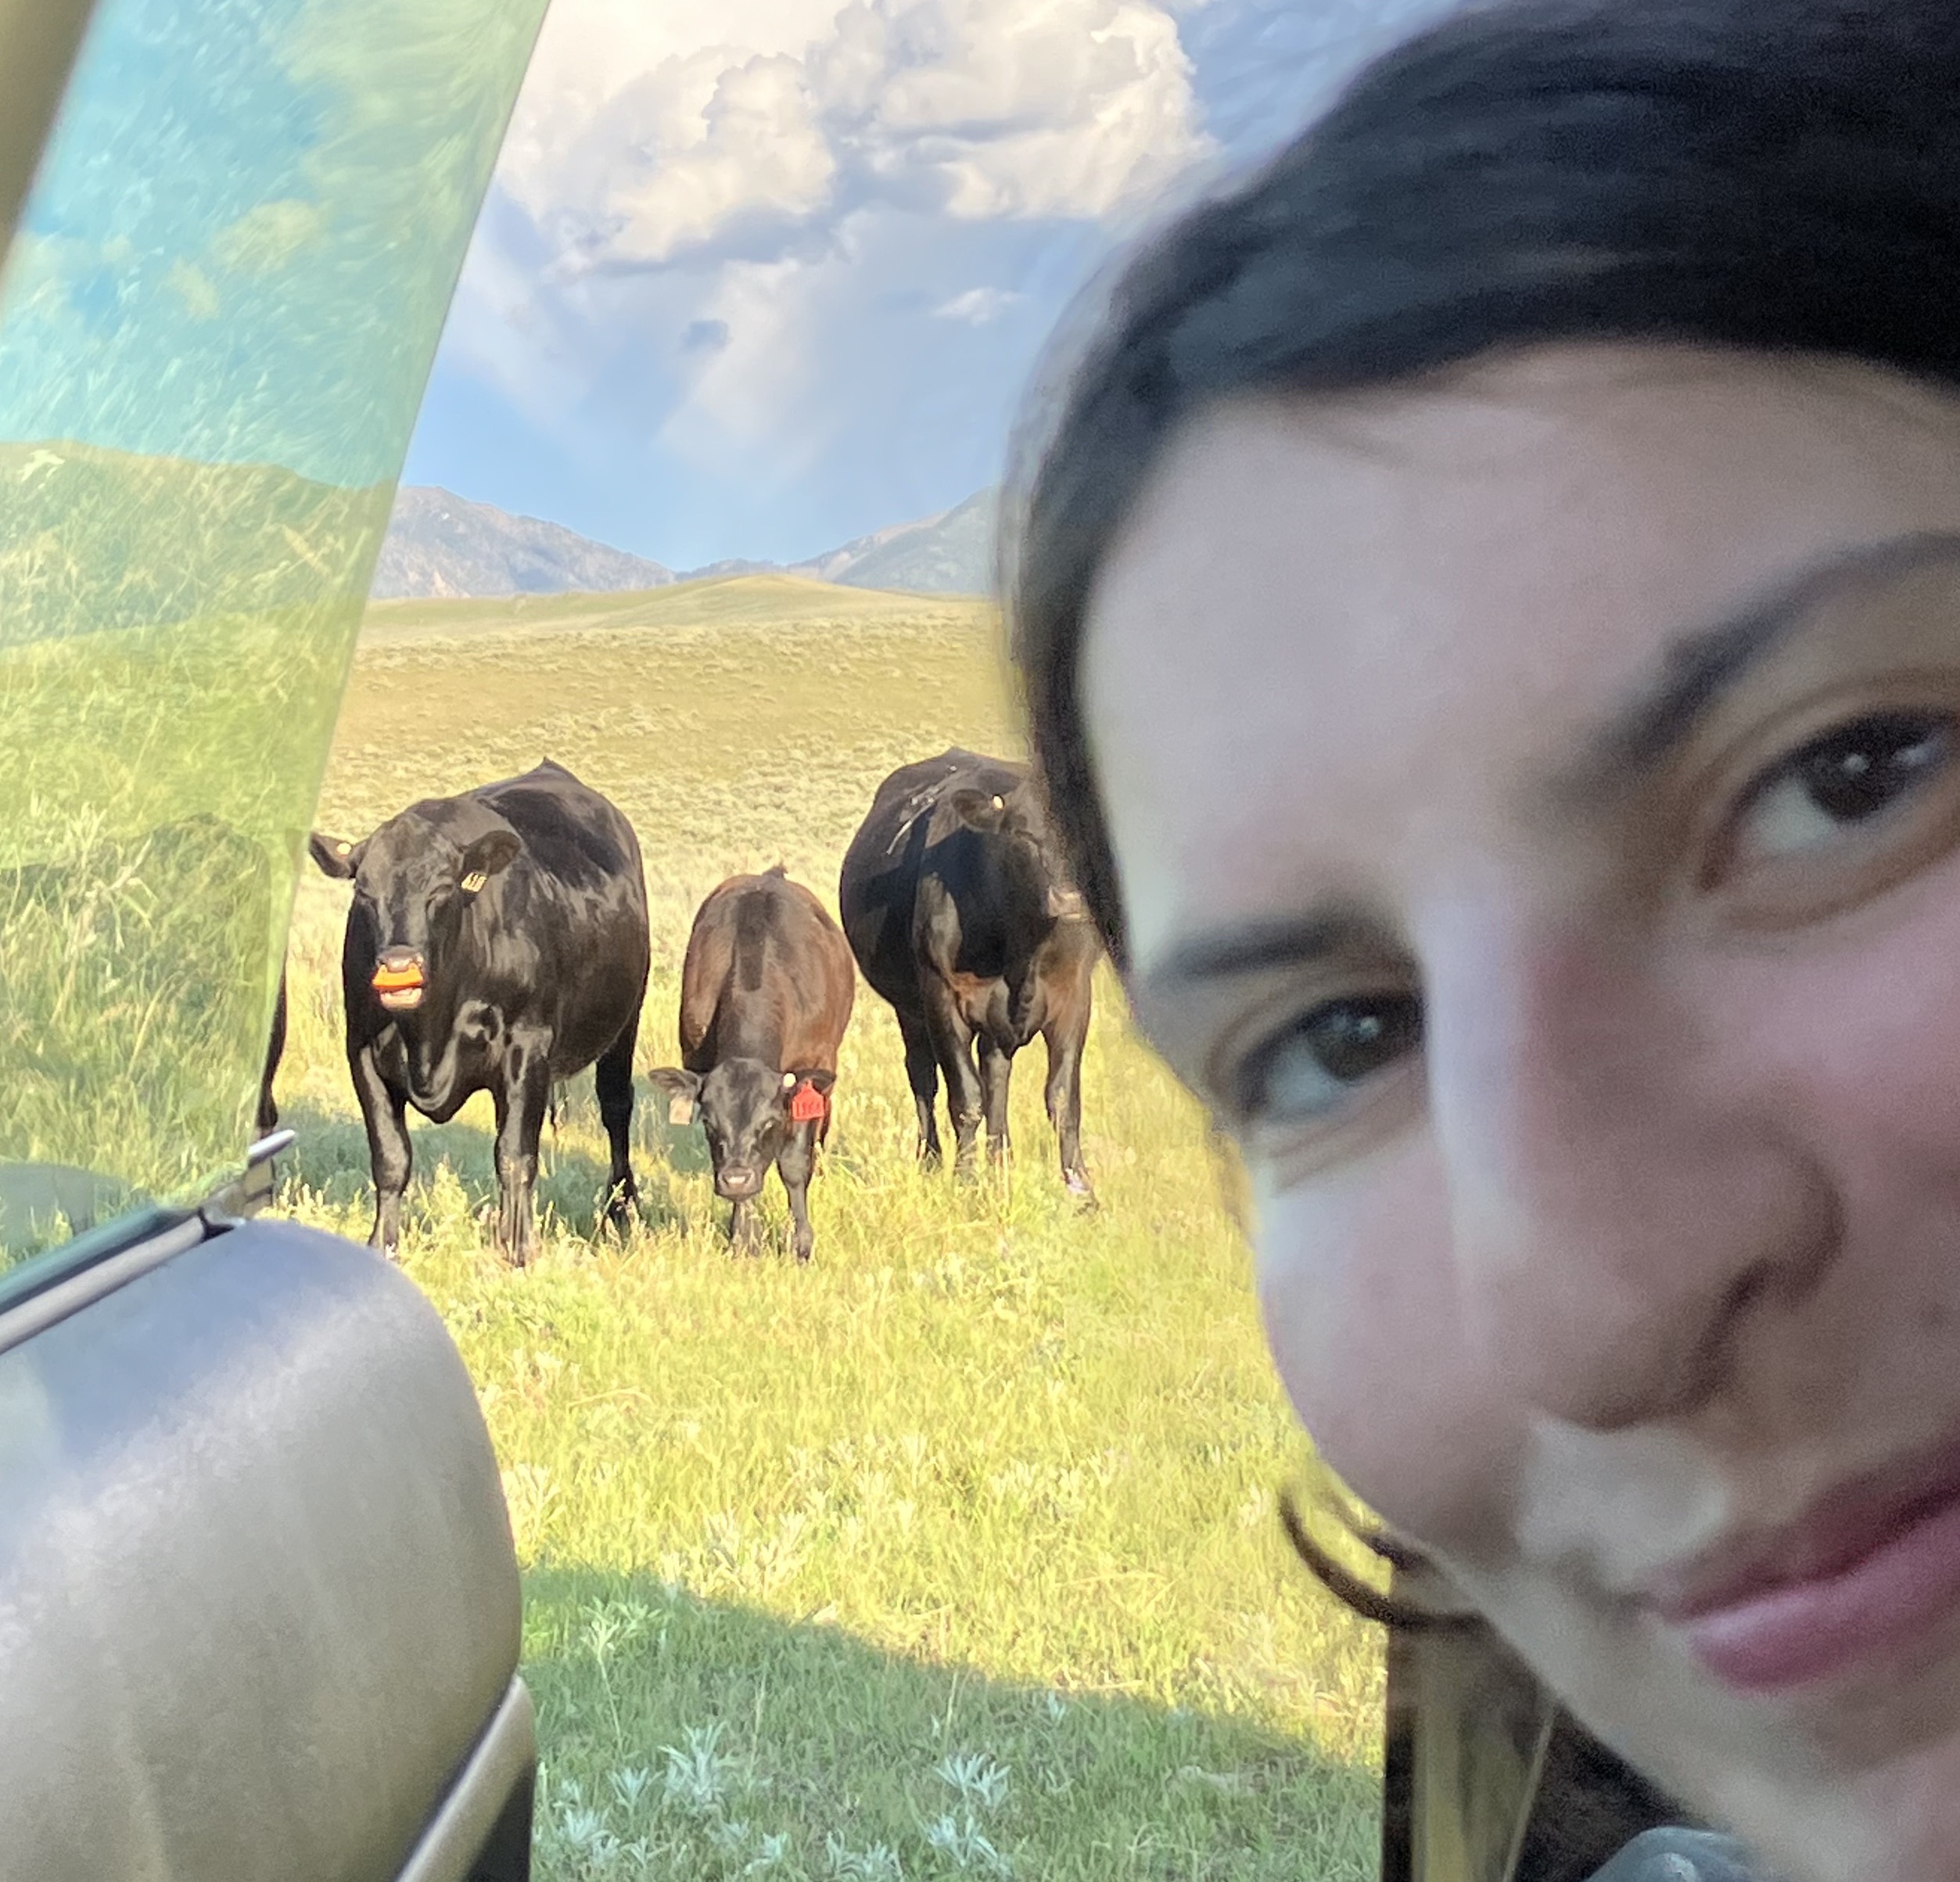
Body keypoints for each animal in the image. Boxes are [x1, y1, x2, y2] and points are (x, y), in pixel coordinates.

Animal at [309, 752, 650, 1262]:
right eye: (363, 892)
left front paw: (520, 1250)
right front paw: (382, 1245)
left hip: (625, 1022)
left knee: (616, 1108)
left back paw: (621, 1208)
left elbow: (514, 1156)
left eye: (442, 890)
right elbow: (391, 1157)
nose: (398, 965)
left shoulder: (527, 1047)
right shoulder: (363, 1050)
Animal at [650, 866, 850, 1262]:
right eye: (709, 1122)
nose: (735, 1179)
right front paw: (744, 1240)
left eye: (769, 1122)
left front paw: (801, 1244)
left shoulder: (810, 1072)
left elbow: (794, 1166)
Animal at [835, 745, 1097, 1191]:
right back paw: (931, 1159)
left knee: (996, 1072)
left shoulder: (1074, 995)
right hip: (909, 1008)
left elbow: (1063, 1097)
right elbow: (965, 1096)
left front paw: (1080, 1187)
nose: (1069, 898)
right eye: (1022, 835)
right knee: (923, 1077)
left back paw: (1001, 1159)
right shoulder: (943, 996)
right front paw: (966, 1181)